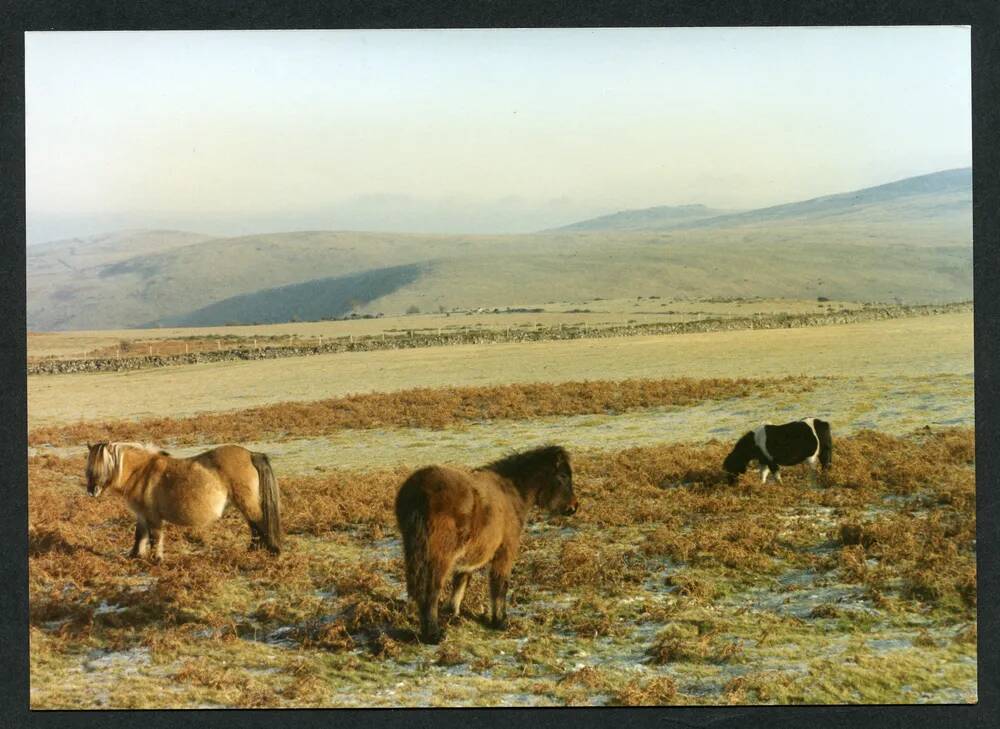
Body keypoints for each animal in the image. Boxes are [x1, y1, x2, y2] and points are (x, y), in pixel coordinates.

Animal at [84, 440, 284, 560]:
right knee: (254, 527)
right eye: (89, 467)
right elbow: (139, 535)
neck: (141, 472)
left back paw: (272, 550)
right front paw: (134, 556)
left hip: (247, 503)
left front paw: (157, 559)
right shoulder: (141, 515)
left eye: (103, 466)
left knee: (259, 523)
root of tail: (250, 454)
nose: (91, 491)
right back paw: (252, 550)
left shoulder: (153, 516)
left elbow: (155, 537)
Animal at [392, 444, 576, 644]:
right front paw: (500, 621)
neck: (512, 493)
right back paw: (433, 635)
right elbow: (500, 584)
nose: (574, 507)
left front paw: (452, 613)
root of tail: (419, 492)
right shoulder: (505, 550)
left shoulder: (470, 555)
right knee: (430, 590)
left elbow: (461, 580)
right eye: (563, 476)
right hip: (439, 556)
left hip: (413, 551)